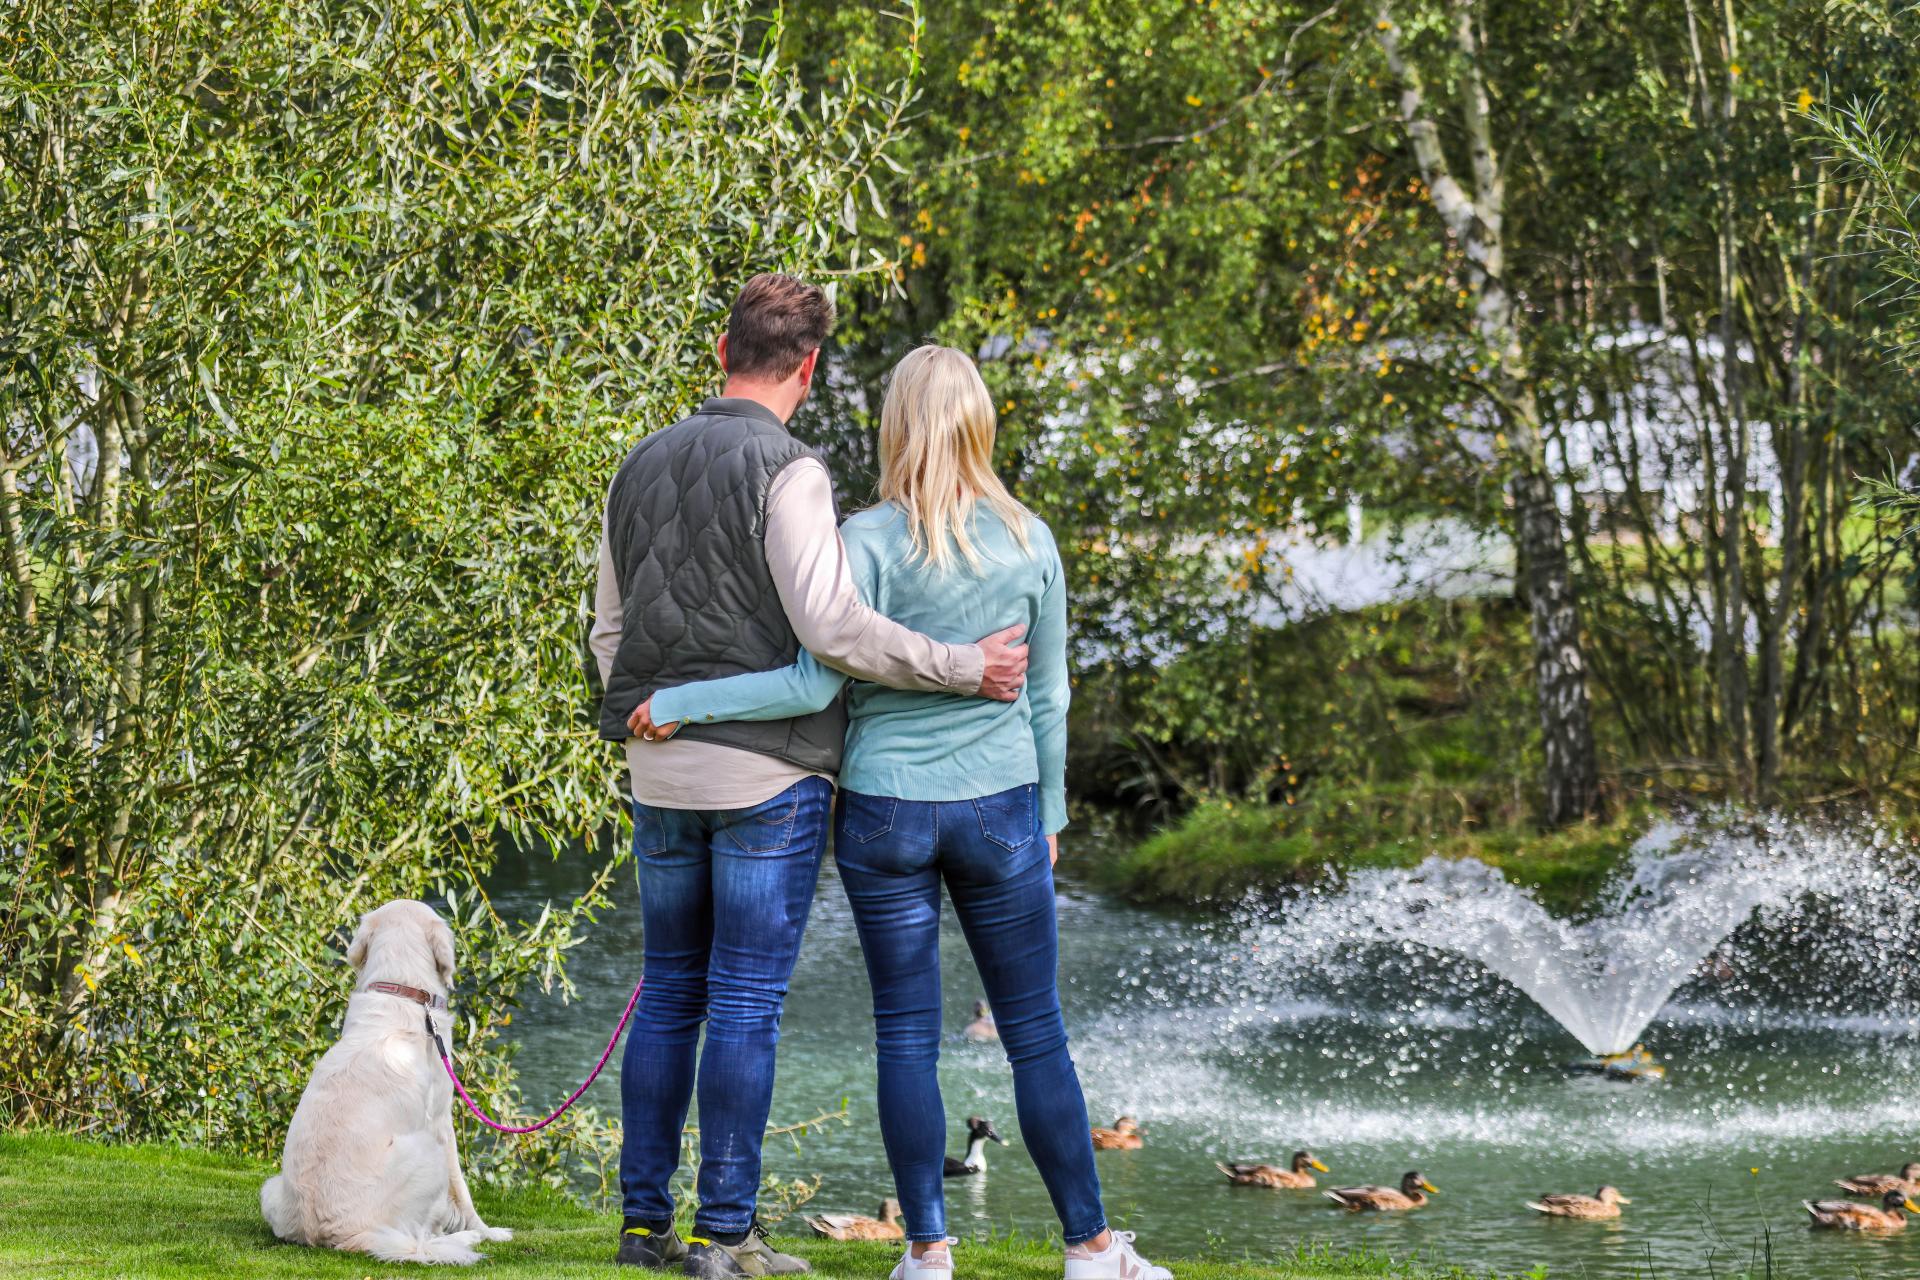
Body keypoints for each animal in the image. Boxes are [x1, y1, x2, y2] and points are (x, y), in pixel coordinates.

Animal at [261, 899, 511, 1264]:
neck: (402, 991)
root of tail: (337, 1234)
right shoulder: (441, 1121)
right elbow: (462, 1192)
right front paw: (487, 1232)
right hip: (427, 1150)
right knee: (419, 1236)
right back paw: (459, 1238)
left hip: (270, 1189)